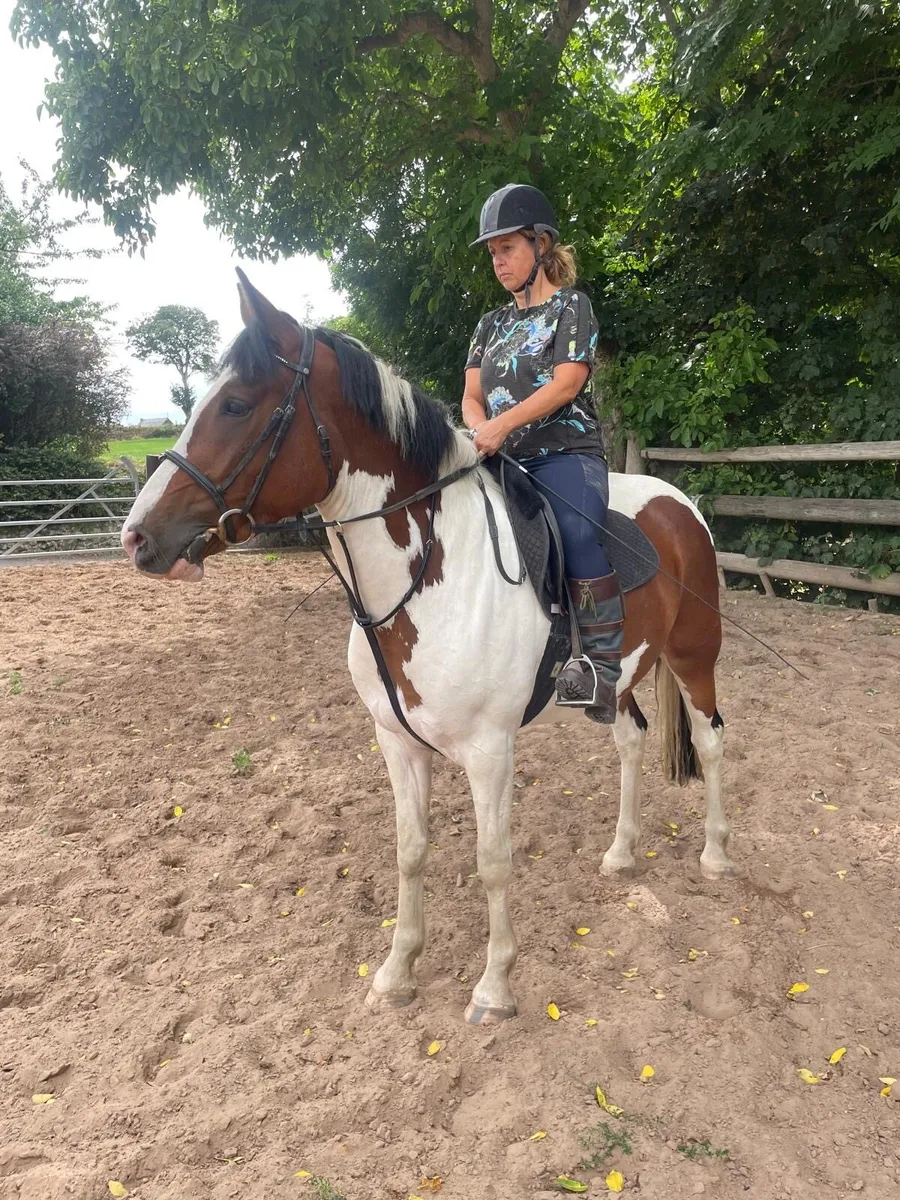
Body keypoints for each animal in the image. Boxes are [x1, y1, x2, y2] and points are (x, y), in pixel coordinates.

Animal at [121, 270, 732, 1026]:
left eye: (235, 404)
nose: (137, 536)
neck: (428, 575)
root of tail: (679, 502)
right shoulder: (398, 741)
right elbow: (411, 850)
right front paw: (397, 970)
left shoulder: (489, 751)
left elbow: (493, 860)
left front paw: (494, 987)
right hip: (615, 681)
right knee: (631, 740)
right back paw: (622, 853)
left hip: (695, 656)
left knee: (710, 741)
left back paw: (715, 855)